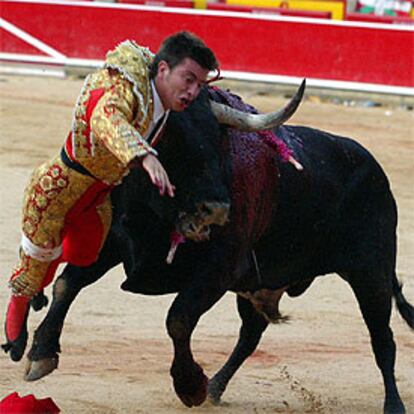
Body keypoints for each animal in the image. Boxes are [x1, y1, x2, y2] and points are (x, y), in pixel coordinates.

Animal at [13, 85, 414, 412]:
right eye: (174, 142)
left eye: (219, 141)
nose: (218, 208)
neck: (159, 210)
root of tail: (374, 168)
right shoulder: (113, 244)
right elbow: (67, 285)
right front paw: (40, 354)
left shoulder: (218, 270)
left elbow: (178, 318)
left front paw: (190, 385)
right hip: (261, 286)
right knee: (251, 334)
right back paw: (218, 387)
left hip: (371, 274)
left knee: (383, 340)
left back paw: (393, 405)